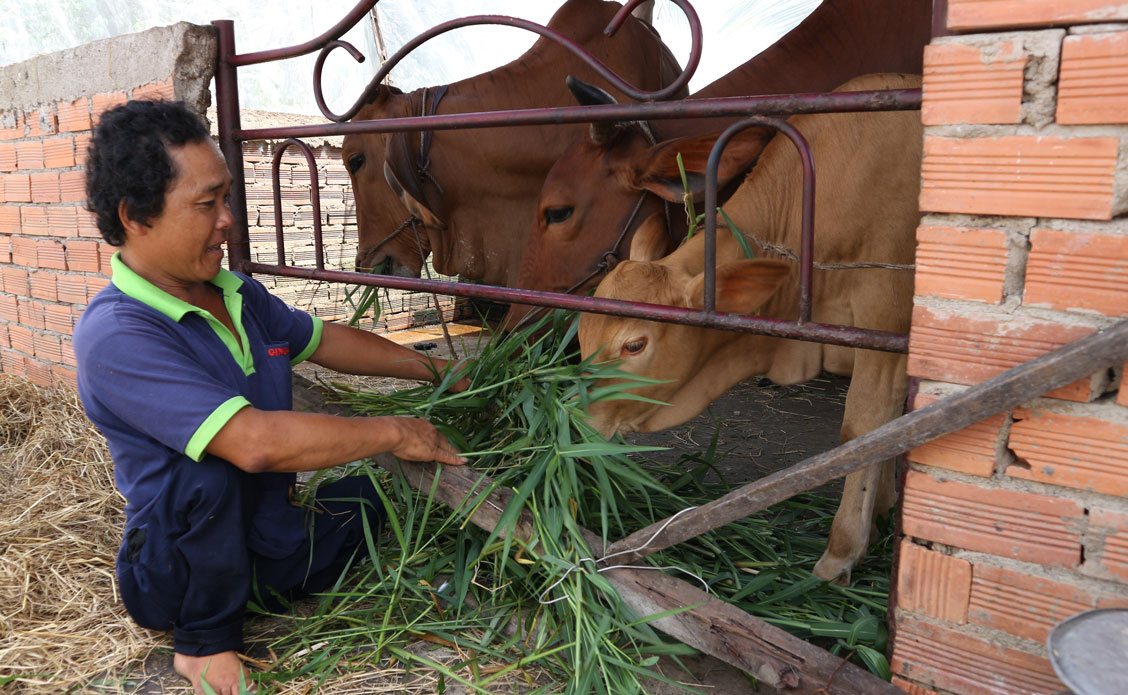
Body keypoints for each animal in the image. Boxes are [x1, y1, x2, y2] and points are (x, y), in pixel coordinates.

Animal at [577, 74, 920, 586]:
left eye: (634, 344)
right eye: (582, 330)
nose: (574, 421)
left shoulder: (886, 312)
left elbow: (866, 425)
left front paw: (842, 551)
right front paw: (880, 513)